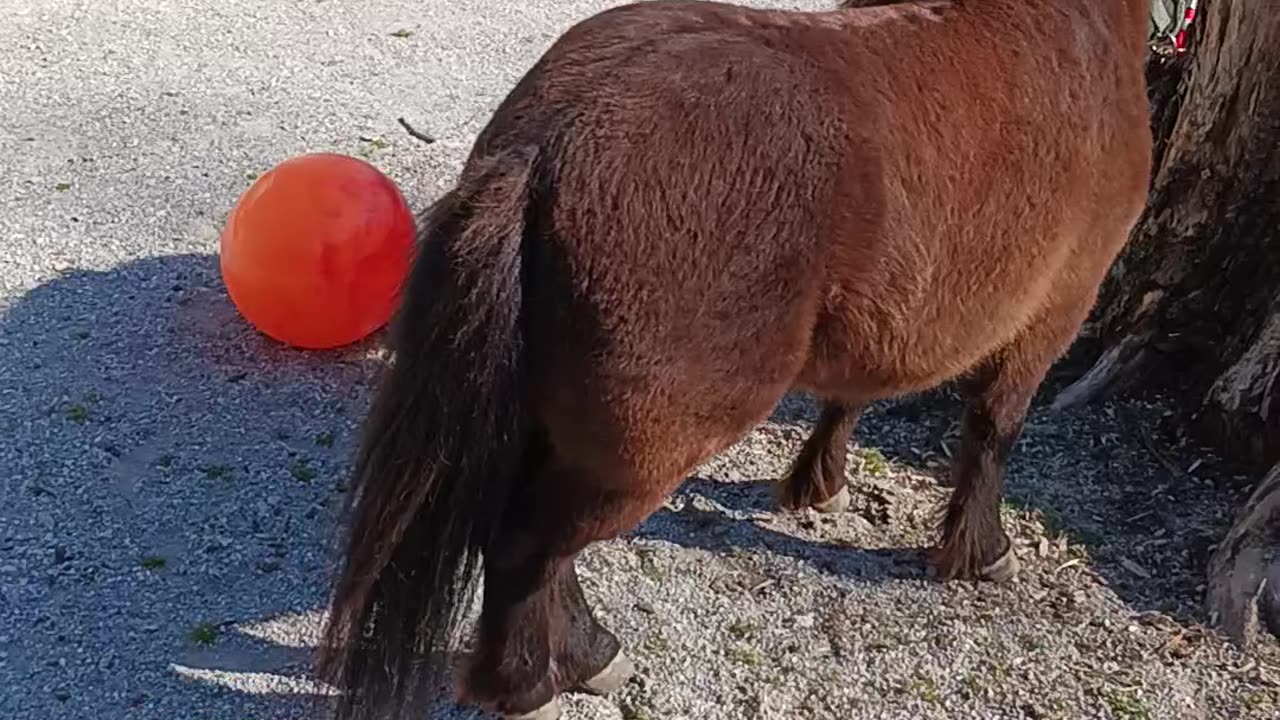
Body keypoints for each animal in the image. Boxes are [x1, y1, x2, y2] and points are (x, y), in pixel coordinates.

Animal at [317, 1, 1152, 717]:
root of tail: (549, 141)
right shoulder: (1059, 306)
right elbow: (995, 426)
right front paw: (982, 551)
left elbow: (852, 392)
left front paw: (820, 482)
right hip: (647, 443)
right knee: (527, 544)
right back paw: (534, 682)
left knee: (537, 541)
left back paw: (586, 652)